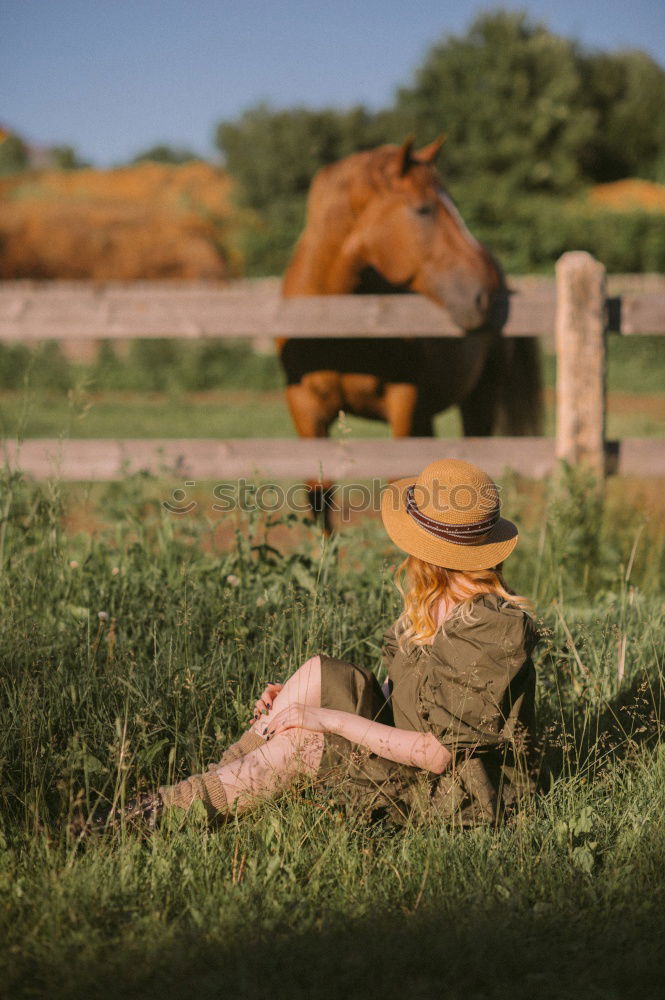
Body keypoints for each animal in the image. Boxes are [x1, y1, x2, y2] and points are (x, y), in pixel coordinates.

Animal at [278, 139, 544, 524]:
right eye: (423, 209)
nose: (489, 294)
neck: (335, 326)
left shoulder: (402, 405)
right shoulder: (305, 409)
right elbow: (320, 496)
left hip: (480, 398)